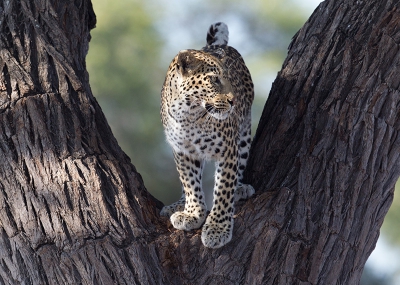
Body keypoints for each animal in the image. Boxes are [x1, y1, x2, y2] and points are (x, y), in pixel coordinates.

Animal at [159, 22, 253, 247]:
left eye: (228, 79)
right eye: (214, 80)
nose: (233, 101)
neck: (189, 114)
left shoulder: (228, 150)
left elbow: (224, 190)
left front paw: (218, 228)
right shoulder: (182, 151)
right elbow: (190, 182)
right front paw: (192, 213)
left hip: (244, 133)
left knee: (240, 166)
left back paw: (240, 188)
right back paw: (178, 204)